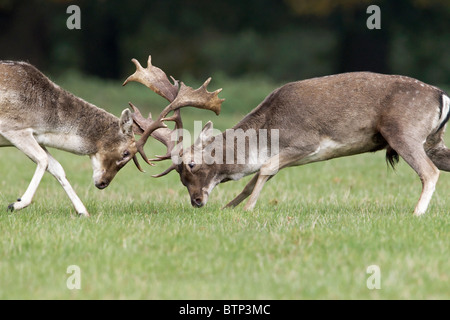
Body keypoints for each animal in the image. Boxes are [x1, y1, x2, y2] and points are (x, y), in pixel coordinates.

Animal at [125, 56, 450, 216]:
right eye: (179, 174)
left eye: (191, 165)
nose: (196, 201)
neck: (267, 136)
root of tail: (441, 95)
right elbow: (254, 180)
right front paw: (230, 207)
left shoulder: (307, 142)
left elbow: (265, 169)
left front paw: (249, 210)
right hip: (433, 140)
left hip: (403, 131)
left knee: (429, 172)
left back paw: (416, 212)